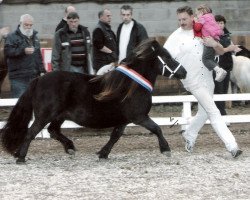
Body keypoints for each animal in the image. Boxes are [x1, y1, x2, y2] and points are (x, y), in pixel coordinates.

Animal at [0, 38, 186, 163]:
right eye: (167, 57)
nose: (184, 72)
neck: (132, 85)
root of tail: (38, 79)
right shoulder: (139, 117)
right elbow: (156, 129)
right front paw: (166, 149)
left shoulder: (124, 120)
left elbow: (115, 136)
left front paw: (103, 154)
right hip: (45, 115)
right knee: (31, 132)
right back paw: (21, 157)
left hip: (59, 116)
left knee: (53, 131)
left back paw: (69, 148)